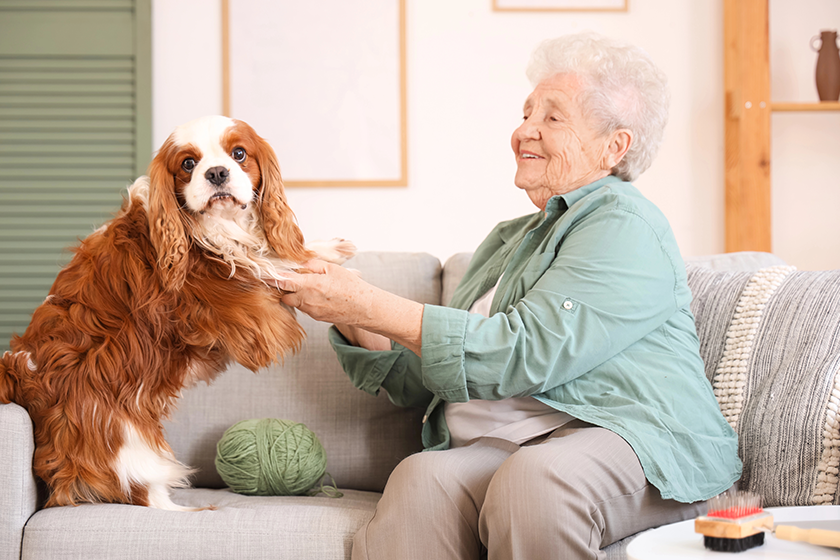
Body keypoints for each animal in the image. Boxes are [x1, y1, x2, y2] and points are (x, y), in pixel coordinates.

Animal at [0, 116, 352, 510]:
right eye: (188, 163)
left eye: (239, 154)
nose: (216, 173)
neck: (210, 228)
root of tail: (19, 376)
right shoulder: (245, 306)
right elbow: (268, 266)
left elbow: (276, 251)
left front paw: (327, 248)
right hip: (127, 445)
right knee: (143, 495)